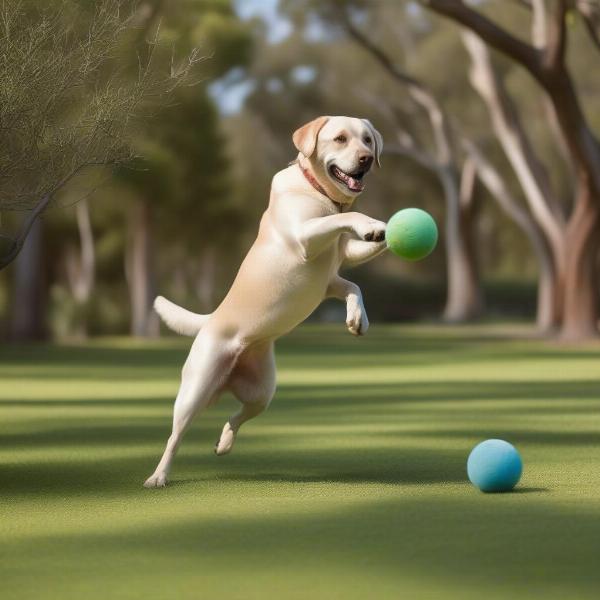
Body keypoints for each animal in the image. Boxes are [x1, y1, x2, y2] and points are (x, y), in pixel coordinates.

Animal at [147, 117, 386, 488]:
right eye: (340, 139)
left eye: (368, 140)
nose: (365, 159)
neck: (318, 192)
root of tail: (211, 319)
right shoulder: (306, 238)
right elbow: (338, 222)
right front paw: (371, 223)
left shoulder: (333, 274)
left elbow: (354, 285)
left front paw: (358, 318)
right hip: (194, 391)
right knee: (175, 436)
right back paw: (158, 476)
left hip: (263, 391)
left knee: (238, 415)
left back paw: (223, 443)